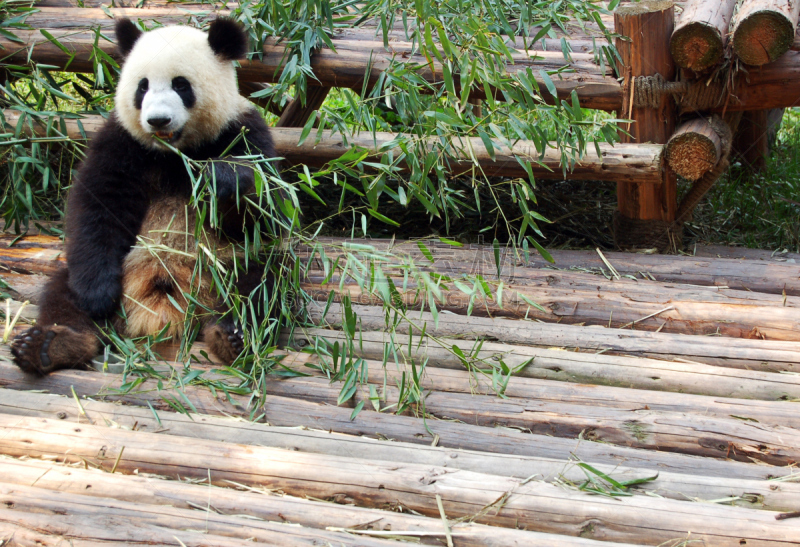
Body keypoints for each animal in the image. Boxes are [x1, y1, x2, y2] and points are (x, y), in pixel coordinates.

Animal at [7, 18, 278, 376]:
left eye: (181, 85)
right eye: (142, 87)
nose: (158, 120)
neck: (174, 152)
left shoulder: (244, 131)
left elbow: (266, 213)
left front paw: (221, 178)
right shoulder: (120, 141)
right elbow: (97, 205)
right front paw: (97, 297)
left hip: (227, 269)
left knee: (259, 283)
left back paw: (232, 337)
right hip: (102, 270)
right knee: (63, 292)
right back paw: (51, 345)